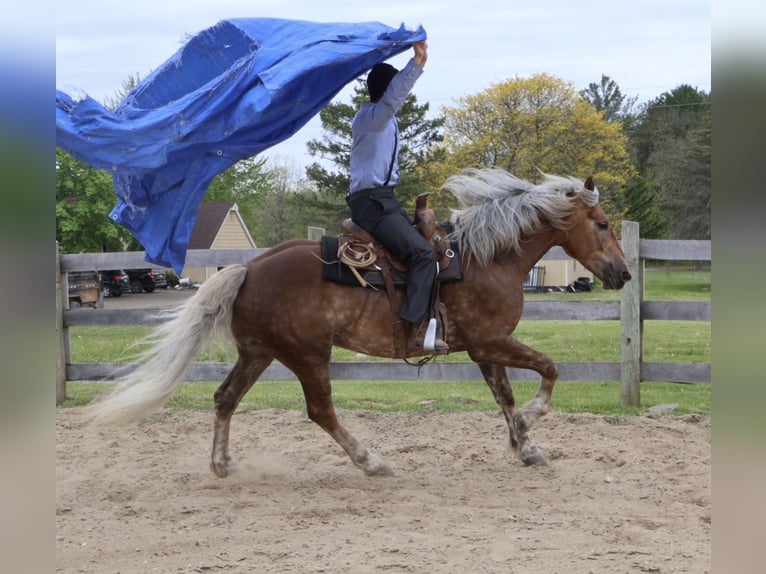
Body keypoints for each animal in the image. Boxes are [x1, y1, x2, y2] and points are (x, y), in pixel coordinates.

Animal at [89, 167, 632, 478]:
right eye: (603, 224)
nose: (624, 273)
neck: (486, 258)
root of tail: (248, 269)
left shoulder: (484, 350)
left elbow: (505, 397)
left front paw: (526, 447)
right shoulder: (490, 342)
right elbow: (548, 371)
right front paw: (530, 425)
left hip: (260, 352)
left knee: (225, 398)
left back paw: (221, 465)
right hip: (309, 355)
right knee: (321, 412)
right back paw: (372, 461)